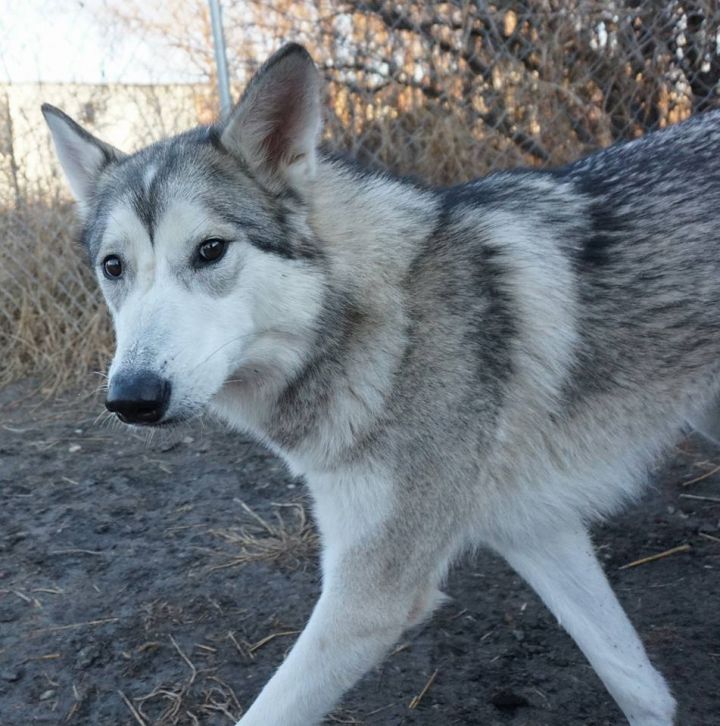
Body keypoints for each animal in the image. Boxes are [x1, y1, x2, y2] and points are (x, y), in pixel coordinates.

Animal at [43, 42, 720, 724]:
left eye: (210, 250)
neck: (380, 323)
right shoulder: (534, 529)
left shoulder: (375, 594)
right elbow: (636, 683)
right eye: (113, 267)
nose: (131, 398)